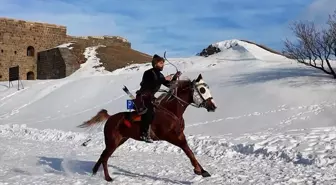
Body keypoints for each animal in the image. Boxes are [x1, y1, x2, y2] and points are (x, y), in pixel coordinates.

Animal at [77, 73, 217, 181]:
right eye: (202, 90)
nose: (213, 106)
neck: (171, 110)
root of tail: (110, 117)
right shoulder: (171, 136)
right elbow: (188, 151)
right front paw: (198, 170)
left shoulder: (179, 134)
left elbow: (189, 151)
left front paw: (202, 170)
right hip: (113, 141)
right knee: (105, 158)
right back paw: (107, 177)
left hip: (120, 140)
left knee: (103, 155)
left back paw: (95, 170)